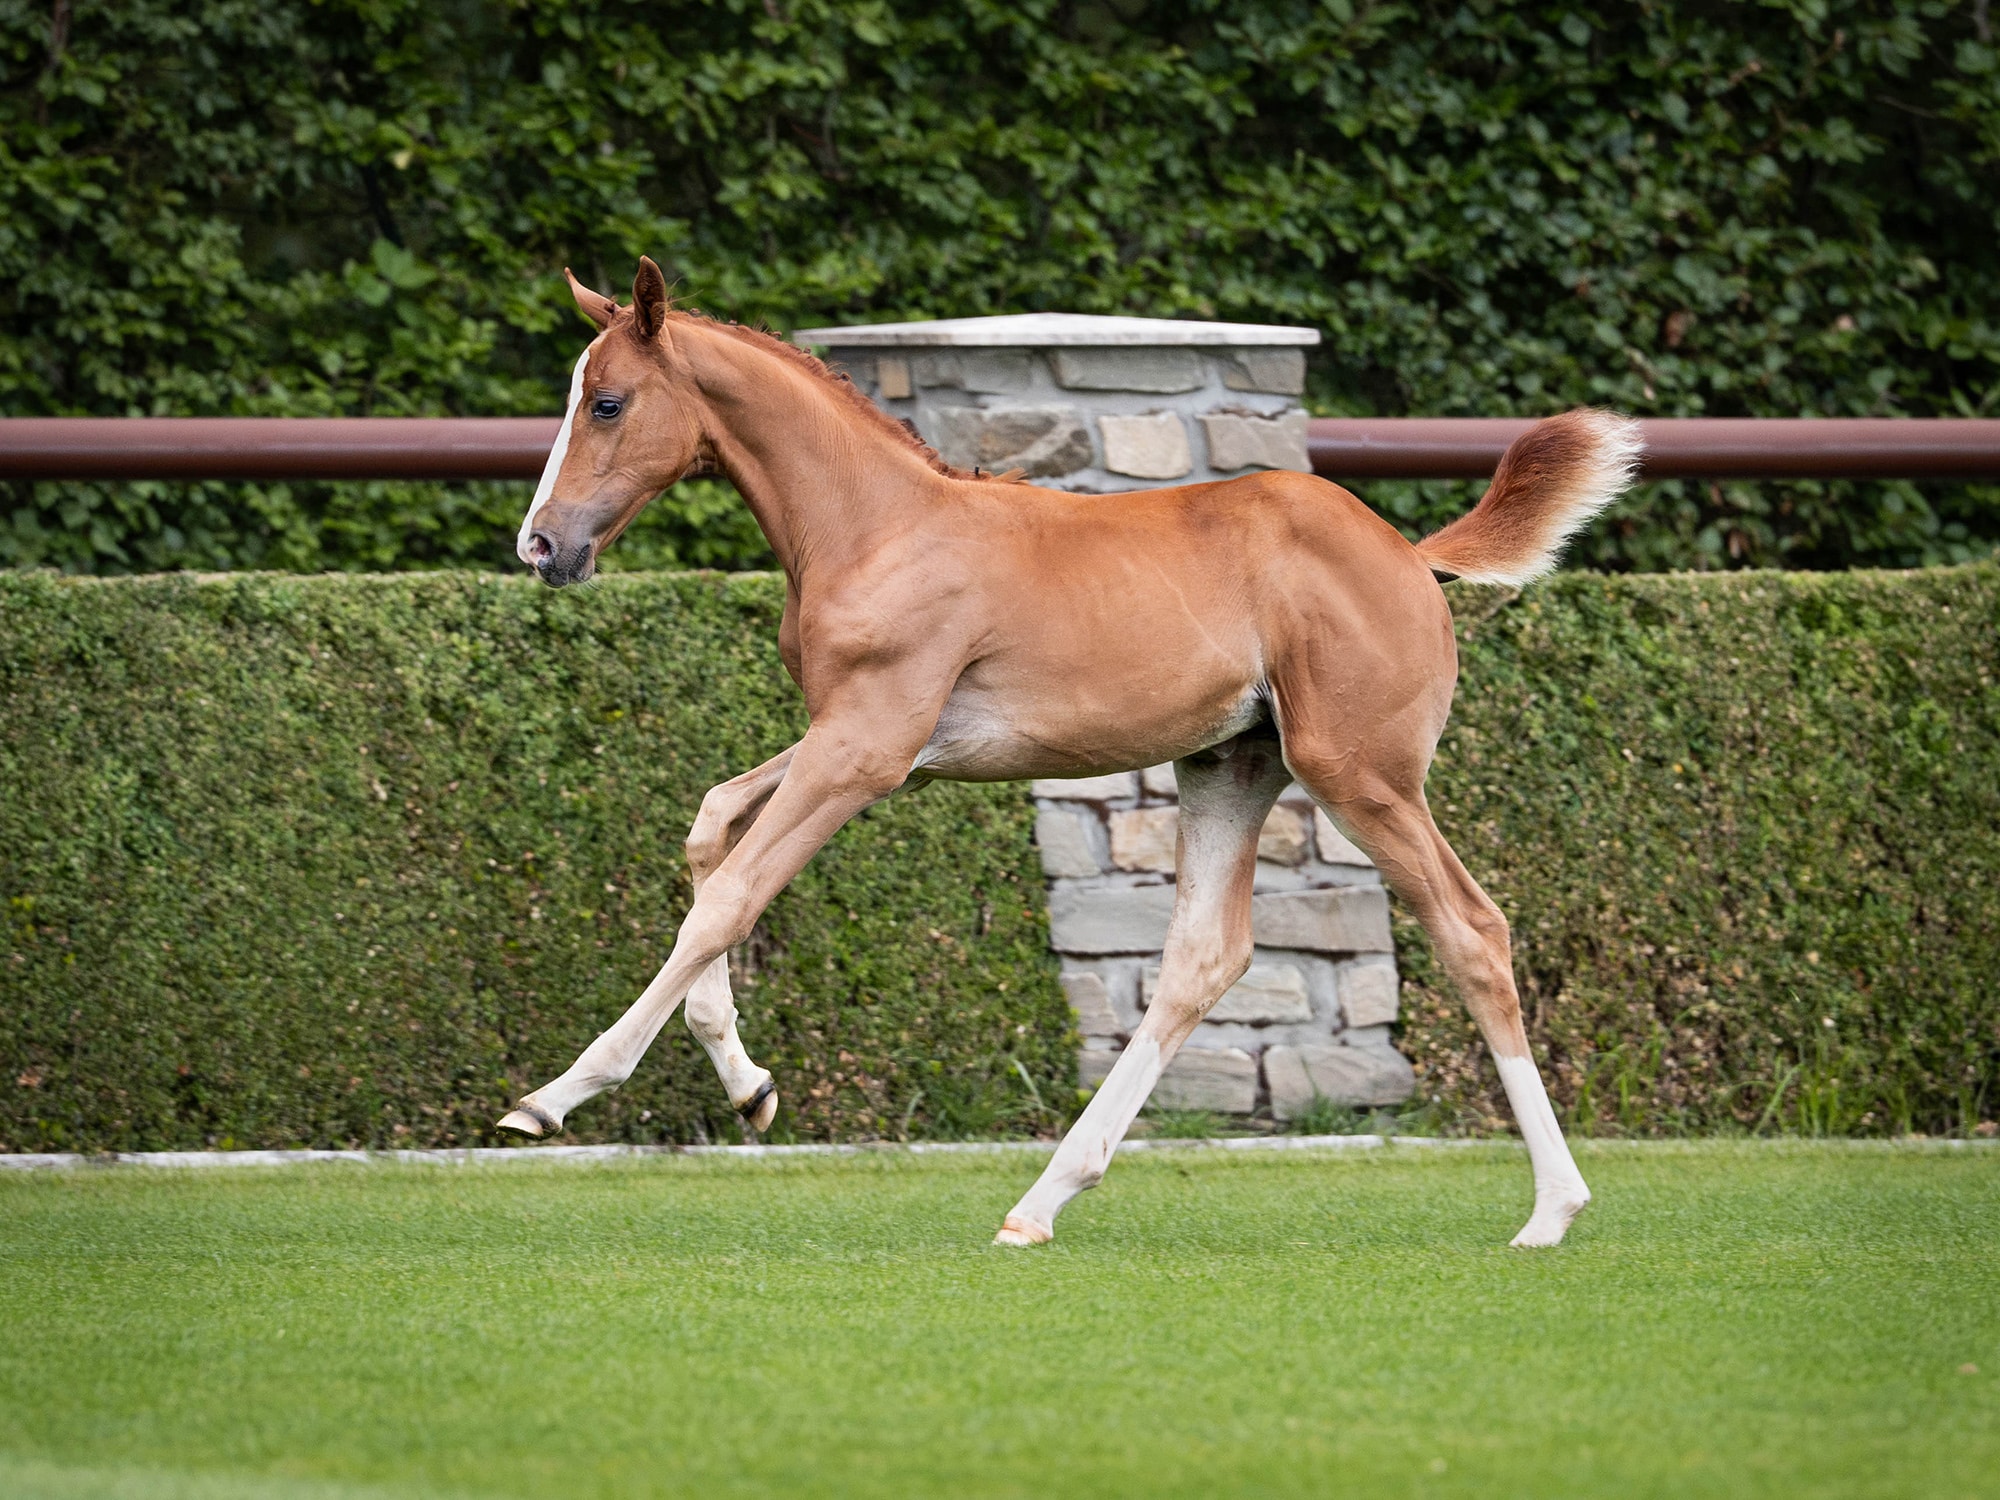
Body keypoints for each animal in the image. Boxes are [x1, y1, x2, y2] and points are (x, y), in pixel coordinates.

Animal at [498, 256, 1642, 1249]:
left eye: (607, 403)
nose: (542, 546)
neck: (877, 526)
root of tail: (1409, 554)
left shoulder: (866, 748)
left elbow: (729, 895)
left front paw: (553, 1098)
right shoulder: (866, 740)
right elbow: (709, 825)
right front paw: (751, 1088)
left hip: (1361, 776)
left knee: (1471, 929)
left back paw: (1552, 1211)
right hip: (1231, 767)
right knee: (1202, 959)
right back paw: (1041, 1200)